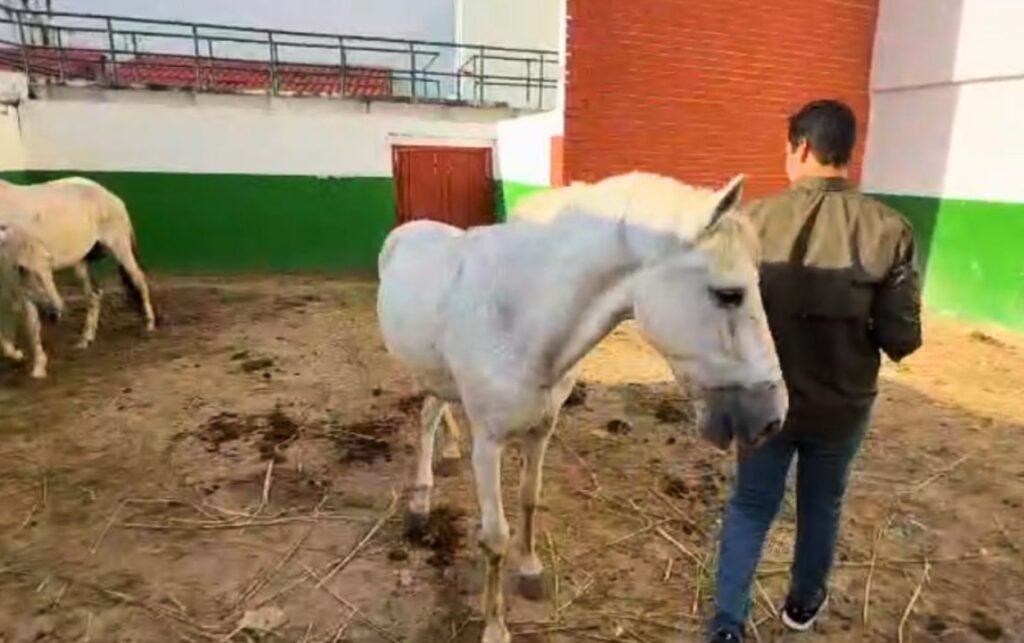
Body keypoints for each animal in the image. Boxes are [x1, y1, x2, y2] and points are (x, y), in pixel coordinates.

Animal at [377, 171, 788, 643]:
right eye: (729, 295)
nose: (772, 418)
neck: (519, 316)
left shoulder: (543, 427)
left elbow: (530, 497)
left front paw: (531, 569)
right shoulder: (490, 444)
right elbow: (495, 536)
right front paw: (495, 625)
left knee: (437, 409)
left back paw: (445, 456)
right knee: (426, 419)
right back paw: (420, 502)